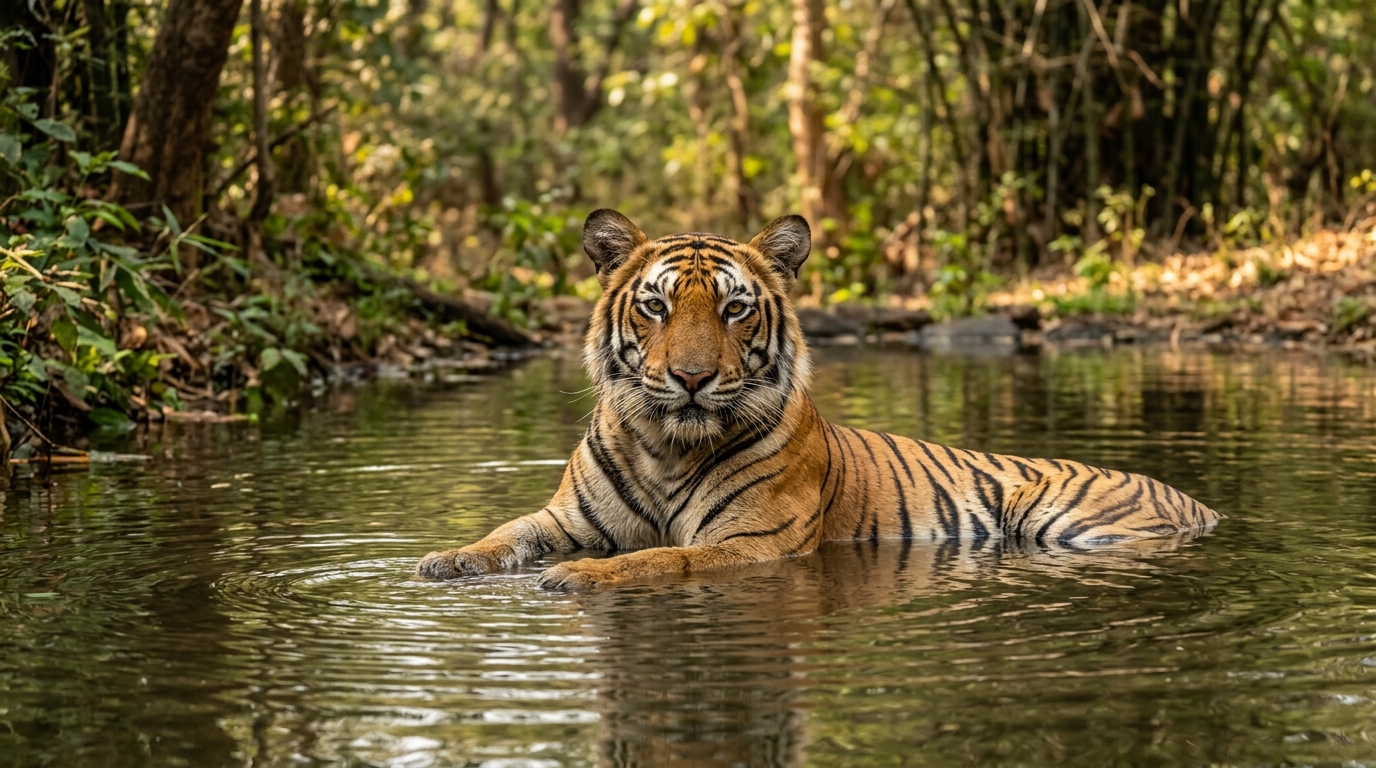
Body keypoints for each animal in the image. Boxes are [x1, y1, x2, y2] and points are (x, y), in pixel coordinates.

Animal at [416, 209, 1219, 590]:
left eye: (735, 310)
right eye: (656, 307)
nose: (691, 378)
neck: (665, 446)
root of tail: (1198, 500)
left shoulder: (751, 541)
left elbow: (657, 560)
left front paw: (578, 577)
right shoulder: (566, 517)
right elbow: (504, 534)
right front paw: (443, 559)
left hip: (1058, 516)